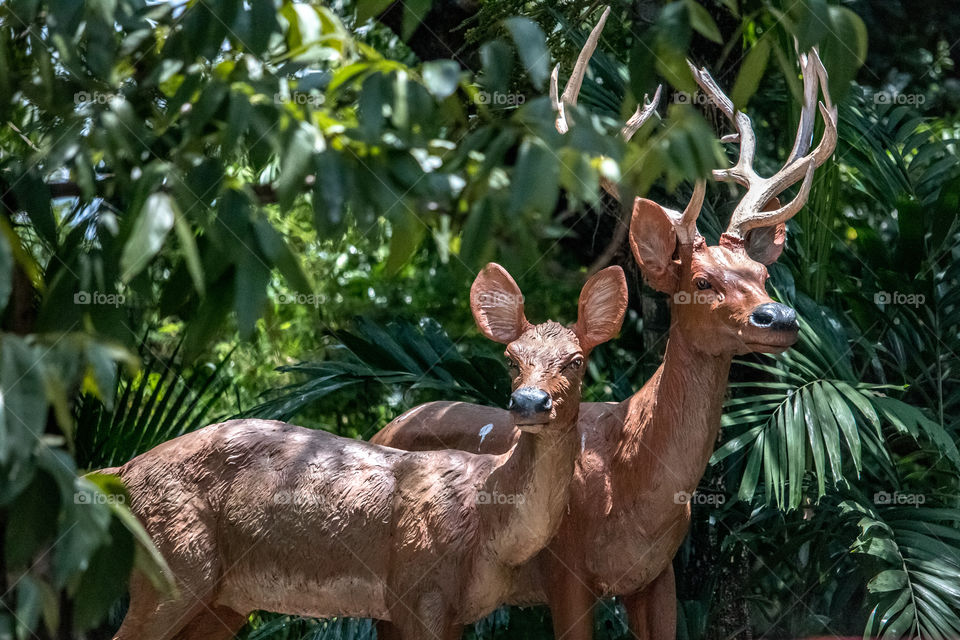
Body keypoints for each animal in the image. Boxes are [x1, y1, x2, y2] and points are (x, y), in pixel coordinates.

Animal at [108, 262, 627, 640]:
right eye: (510, 359)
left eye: (577, 360)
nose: (529, 402)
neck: (487, 515)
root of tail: (123, 471)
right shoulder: (417, 589)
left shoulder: (455, 609)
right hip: (174, 562)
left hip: (224, 598)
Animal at [371, 9, 837, 640]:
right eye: (701, 282)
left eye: (763, 276)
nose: (780, 317)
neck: (631, 483)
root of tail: (384, 430)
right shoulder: (567, 571)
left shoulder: (658, 576)